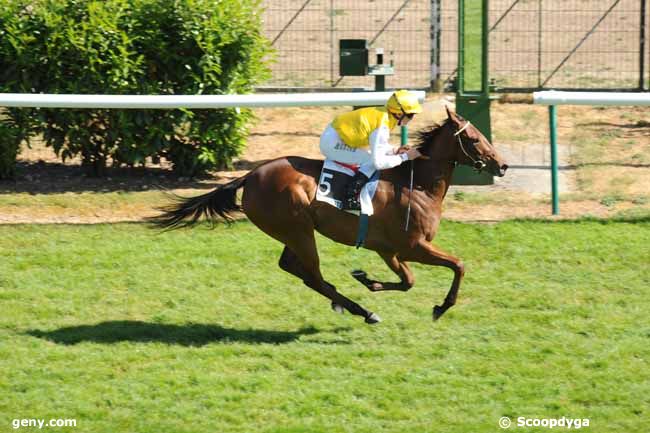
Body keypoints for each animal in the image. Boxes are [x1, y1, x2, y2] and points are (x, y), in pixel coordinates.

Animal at [152, 108, 506, 324]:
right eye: (473, 138)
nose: (502, 165)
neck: (417, 184)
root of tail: (250, 176)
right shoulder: (412, 246)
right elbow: (458, 265)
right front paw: (441, 307)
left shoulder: (389, 250)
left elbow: (408, 281)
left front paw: (367, 279)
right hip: (298, 230)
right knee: (312, 276)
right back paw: (362, 311)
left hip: (292, 232)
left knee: (292, 267)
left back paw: (346, 302)